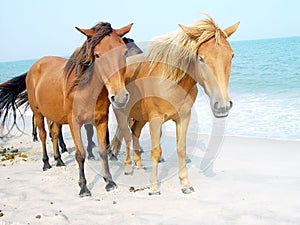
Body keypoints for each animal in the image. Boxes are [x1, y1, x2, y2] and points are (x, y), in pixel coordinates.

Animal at [0, 21, 132, 197]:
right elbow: (80, 154)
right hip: (38, 113)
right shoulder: (74, 122)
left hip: (55, 115)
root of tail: (33, 67)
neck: (85, 90)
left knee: (55, 134)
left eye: (124, 52)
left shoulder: (101, 121)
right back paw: (46, 163)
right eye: (97, 55)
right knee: (43, 135)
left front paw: (109, 182)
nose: (120, 97)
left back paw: (59, 159)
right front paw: (83, 188)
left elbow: (103, 151)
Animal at [109, 15, 239, 195]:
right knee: (126, 135)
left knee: (134, 133)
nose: (222, 105)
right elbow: (156, 151)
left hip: (140, 117)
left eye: (231, 56)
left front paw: (185, 183)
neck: (171, 81)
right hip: (121, 113)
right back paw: (128, 167)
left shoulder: (183, 118)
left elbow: (181, 149)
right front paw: (154, 186)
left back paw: (139, 163)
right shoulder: (155, 120)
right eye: (201, 58)